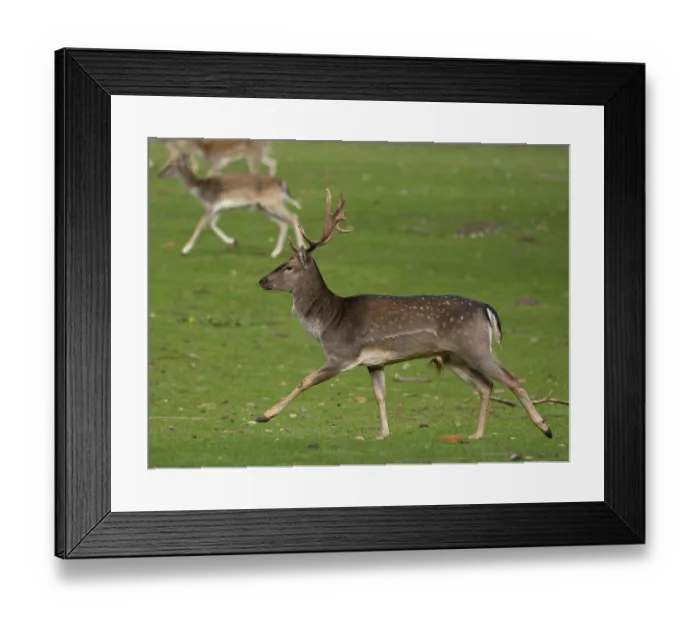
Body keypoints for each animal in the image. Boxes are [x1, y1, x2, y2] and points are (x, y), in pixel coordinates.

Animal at [157, 154, 304, 258]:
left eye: (170, 165)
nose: (159, 173)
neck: (200, 190)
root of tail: (281, 182)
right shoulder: (219, 209)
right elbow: (212, 225)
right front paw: (234, 242)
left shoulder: (211, 206)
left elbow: (201, 224)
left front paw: (184, 250)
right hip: (263, 207)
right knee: (283, 223)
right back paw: (274, 253)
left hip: (271, 203)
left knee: (293, 216)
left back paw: (301, 249)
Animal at [255, 189, 554, 442]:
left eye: (288, 266)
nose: (262, 280)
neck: (329, 320)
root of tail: (487, 309)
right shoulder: (375, 363)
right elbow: (380, 396)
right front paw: (383, 434)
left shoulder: (343, 354)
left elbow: (304, 381)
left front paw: (264, 415)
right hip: (453, 356)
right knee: (486, 385)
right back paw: (476, 434)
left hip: (475, 346)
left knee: (510, 378)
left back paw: (545, 427)